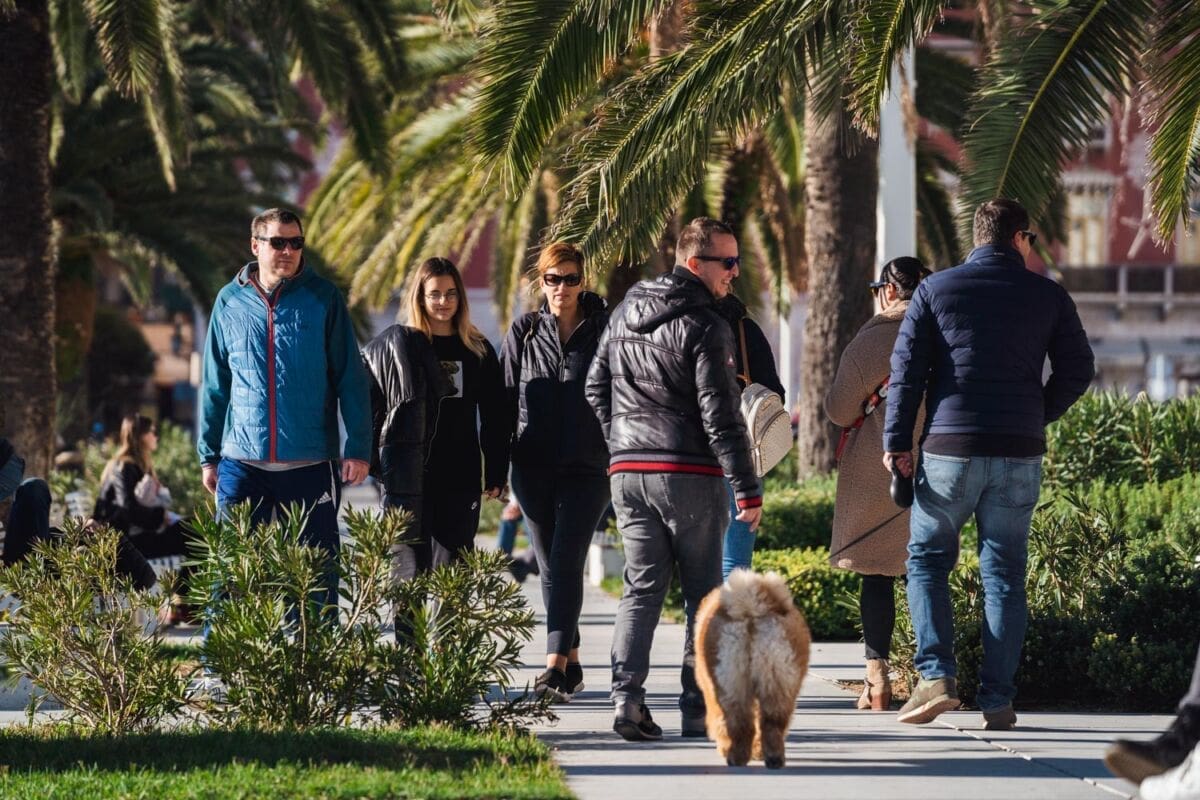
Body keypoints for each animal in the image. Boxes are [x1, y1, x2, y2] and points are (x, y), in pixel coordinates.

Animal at [694, 569, 811, 768]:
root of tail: (751, 610)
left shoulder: (709, 689)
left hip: (729, 684)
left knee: (737, 722)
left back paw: (734, 756)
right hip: (776, 680)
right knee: (769, 723)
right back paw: (769, 758)